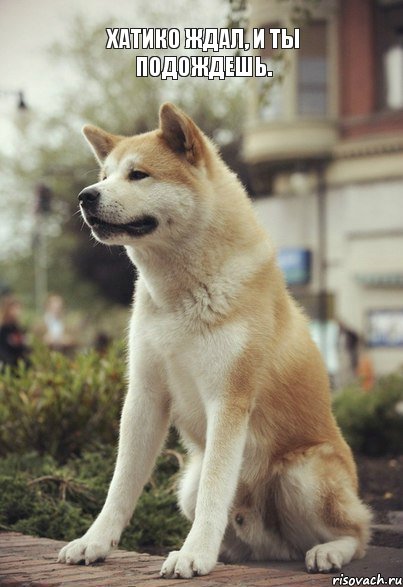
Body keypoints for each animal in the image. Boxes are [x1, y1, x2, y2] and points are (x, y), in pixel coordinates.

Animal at [56, 102, 372, 580]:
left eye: (138, 175)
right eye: (105, 175)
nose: (85, 196)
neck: (180, 296)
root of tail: (274, 548)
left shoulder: (229, 400)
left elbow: (214, 492)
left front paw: (194, 554)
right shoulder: (145, 396)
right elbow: (120, 486)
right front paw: (95, 542)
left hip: (303, 473)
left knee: (357, 533)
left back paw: (327, 551)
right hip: (186, 481)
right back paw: (227, 551)